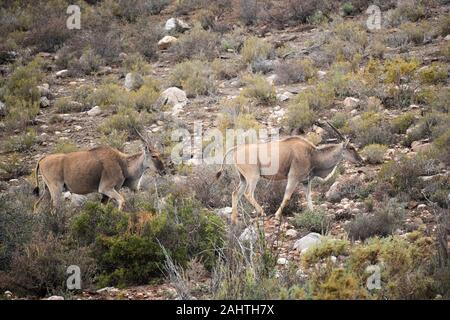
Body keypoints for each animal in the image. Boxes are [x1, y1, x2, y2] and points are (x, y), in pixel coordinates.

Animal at [216, 121, 364, 224]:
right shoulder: (293, 178)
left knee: (235, 193)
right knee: (248, 193)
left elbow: (308, 198)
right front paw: (277, 215)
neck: (312, 154)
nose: (361, 161)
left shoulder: (306, 182)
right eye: (351, 148)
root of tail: (236, 149)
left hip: (243, 178)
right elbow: (287, 197)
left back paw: (234, 220)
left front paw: (313, 214)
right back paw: (262, 212)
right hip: (253, 177)